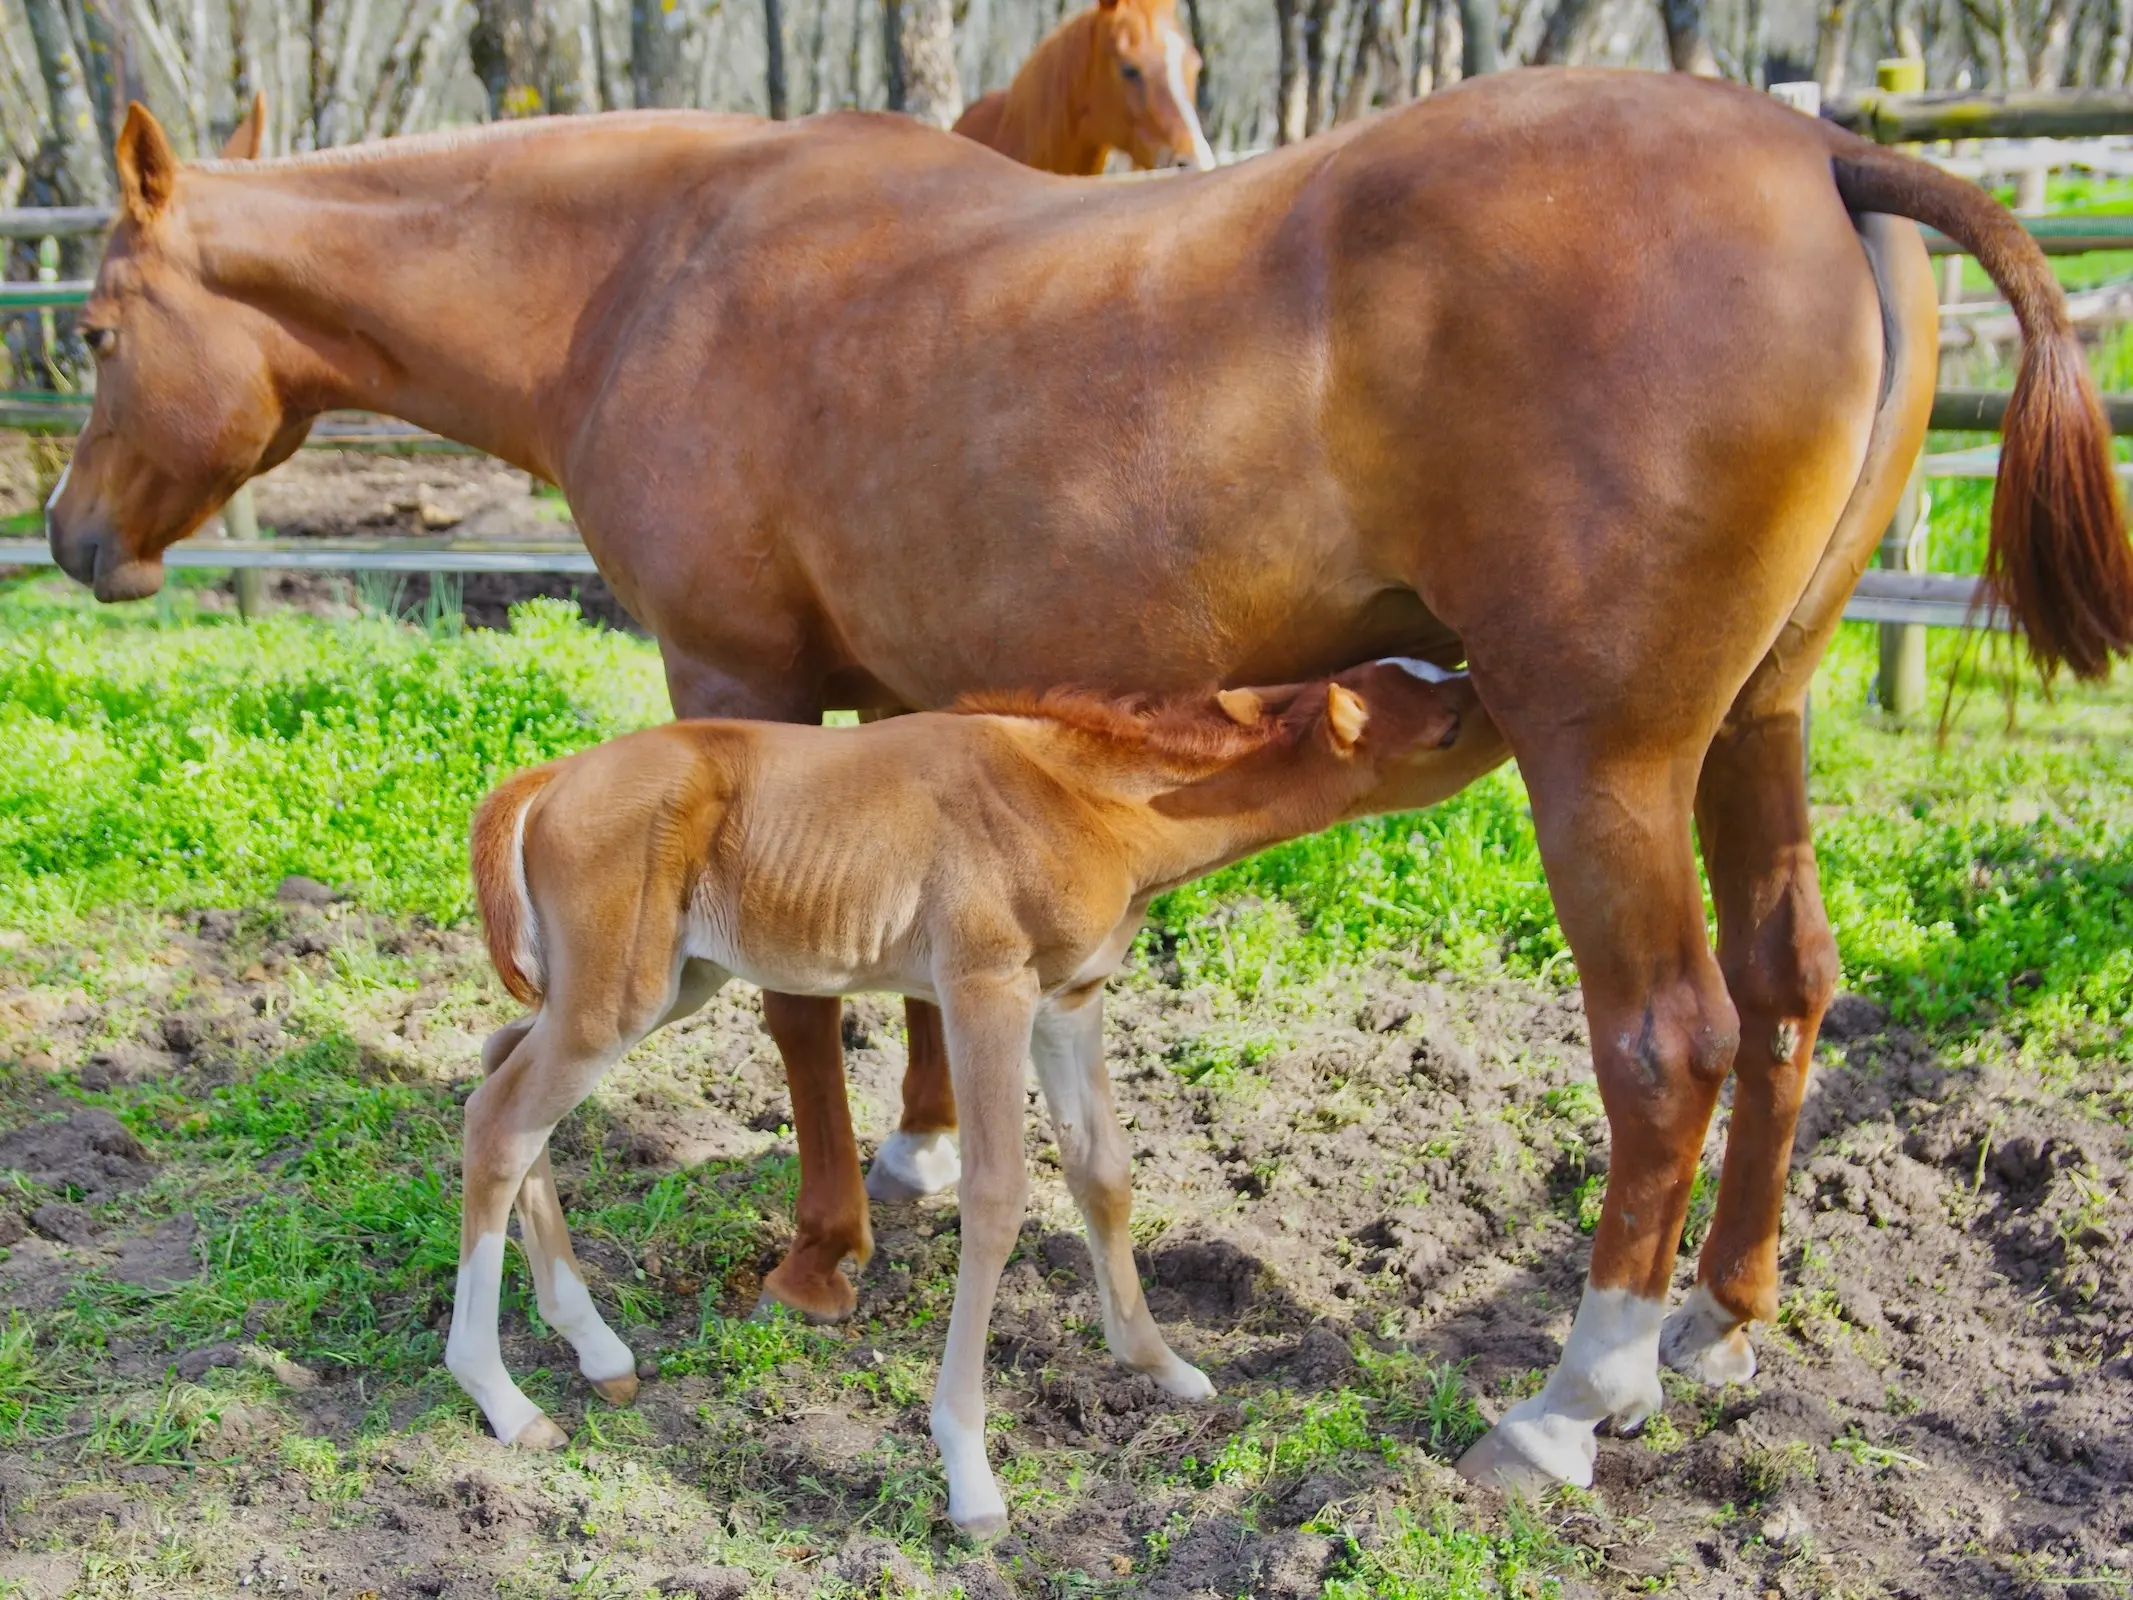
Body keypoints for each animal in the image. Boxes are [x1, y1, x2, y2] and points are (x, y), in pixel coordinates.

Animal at [454, 657, 1467, 1536]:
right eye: (1444, 722)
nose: (1482, 685)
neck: (1087, 800)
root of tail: (550, 776)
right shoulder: (985, 990)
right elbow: (994, 1198)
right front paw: (970, 1477)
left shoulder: (1069, 1002)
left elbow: (1104, 1172)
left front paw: (1159, 1364)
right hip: (615, 998)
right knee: (498, 1120)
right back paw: (505, 1400)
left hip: (665, 986)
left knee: (503, 1071)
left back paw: (597, 1350)